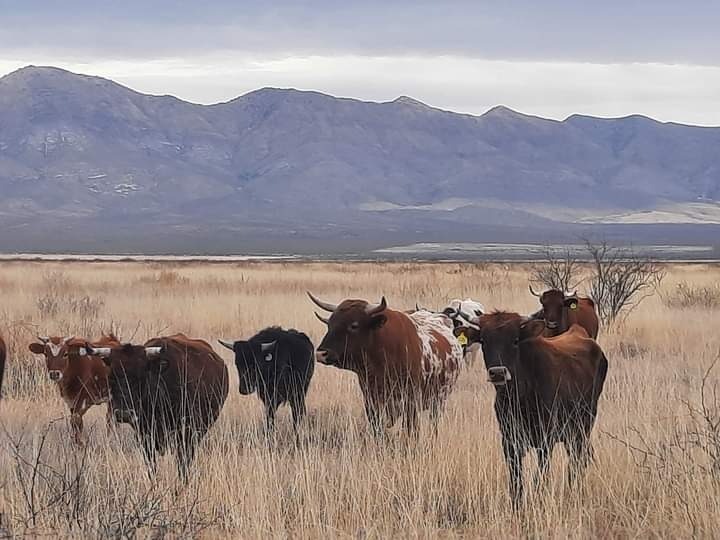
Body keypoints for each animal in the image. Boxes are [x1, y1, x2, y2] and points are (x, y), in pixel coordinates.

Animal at [89, 334, 228, 480]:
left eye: (141, 376)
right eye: (111, 377)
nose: (124, 413)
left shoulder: (186, 435)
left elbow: (183, 465)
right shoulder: (144, 437)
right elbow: (152, 467)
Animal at [309, 292, 464, 438]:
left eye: (354, 325)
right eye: (329, 324)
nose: (321, 353)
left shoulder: (411, 403)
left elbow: (411, 431)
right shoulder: (371, 402)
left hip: (439, 400)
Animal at [454, 312, 608, 507]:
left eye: (515, 340)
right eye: (483, 340)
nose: (498, 373)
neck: (519, 396)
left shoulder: (546, 440)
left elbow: (539, 478)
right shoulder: (509, 441)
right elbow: (516, 479)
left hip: (583, 427)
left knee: (578, 460)